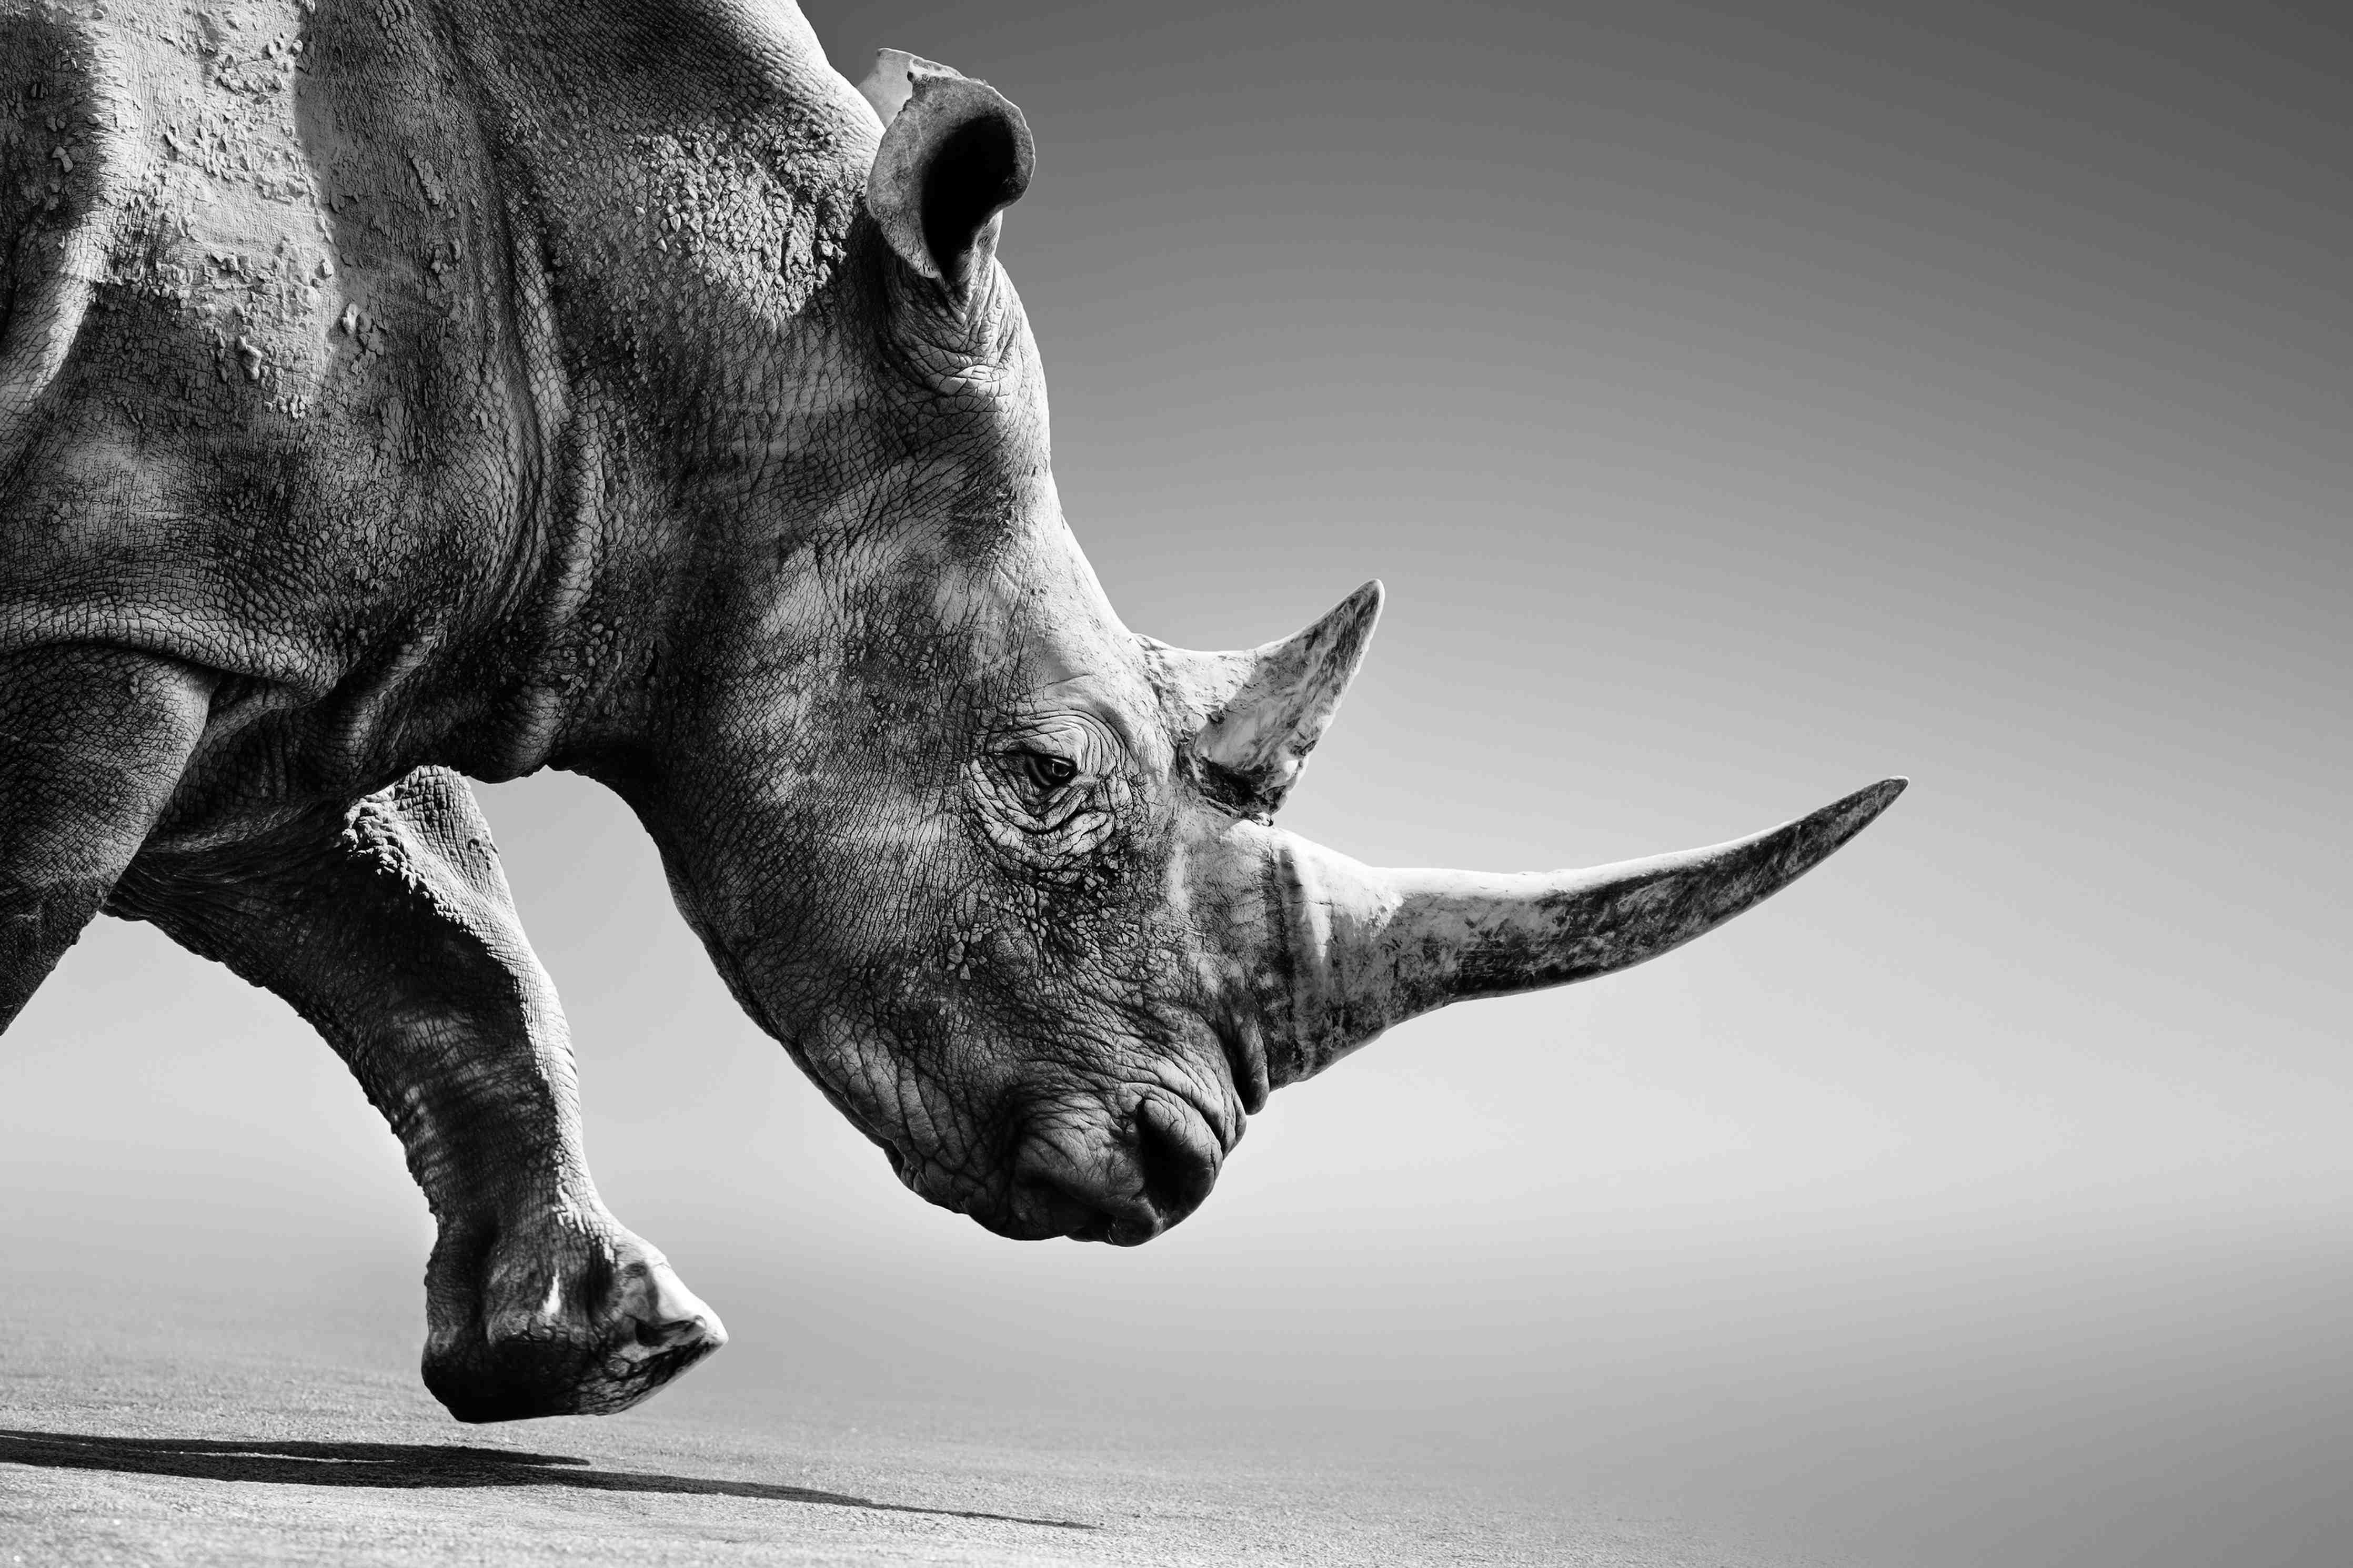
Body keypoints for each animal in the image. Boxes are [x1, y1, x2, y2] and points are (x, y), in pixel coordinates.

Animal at [0, 0, 1903, 1422]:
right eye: (1045, 772)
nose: (1177, 1166)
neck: (695, 314)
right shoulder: (127, 601)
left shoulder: (239, 600)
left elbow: (428, 923)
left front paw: (606, 1356)